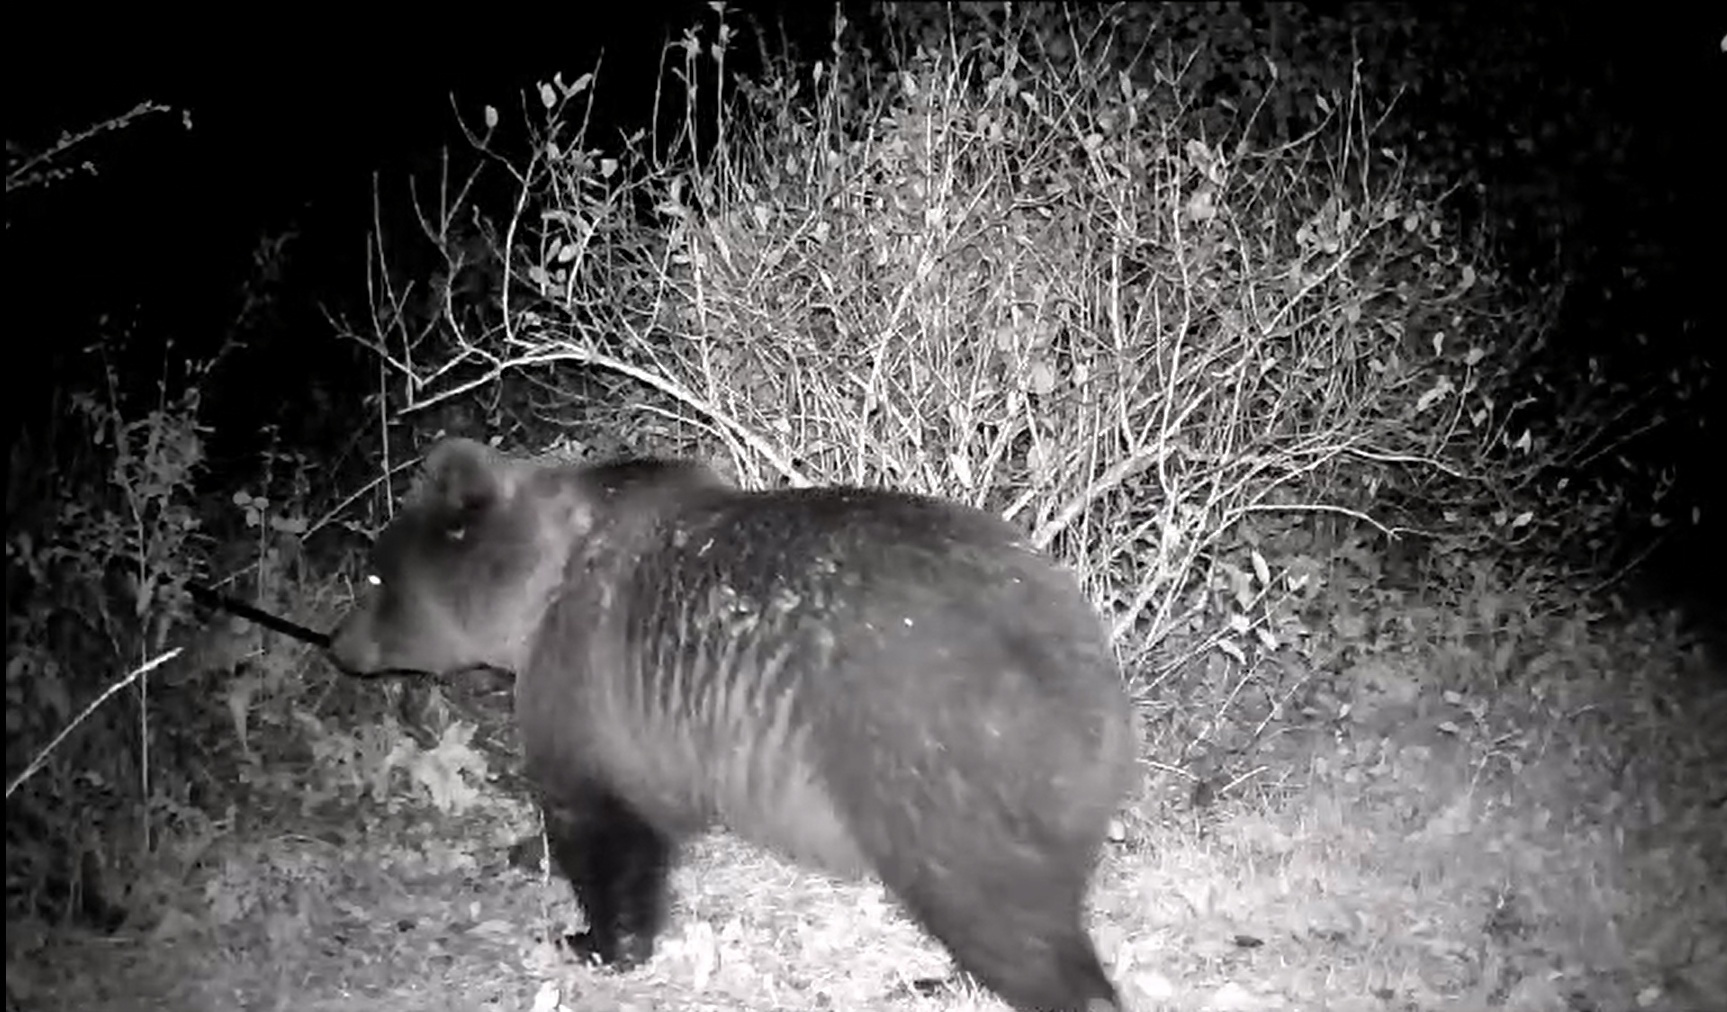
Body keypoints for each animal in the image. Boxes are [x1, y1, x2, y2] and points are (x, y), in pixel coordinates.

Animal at [329, 435, 1139, 1008]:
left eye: (372, 576)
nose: (337, 644)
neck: (532, 594)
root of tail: (1080, 654)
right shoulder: (658, 733)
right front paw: (533, 859)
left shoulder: (585, 681)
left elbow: (599, 822)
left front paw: (595, 938)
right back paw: (948, 980)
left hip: (936, 759)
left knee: (1000, 913)